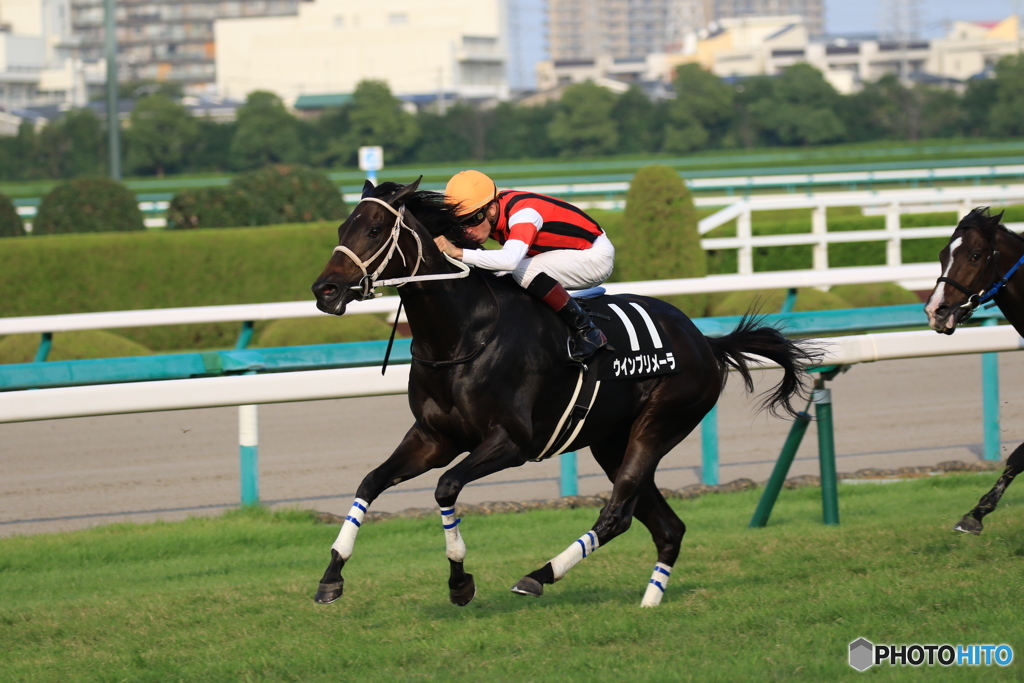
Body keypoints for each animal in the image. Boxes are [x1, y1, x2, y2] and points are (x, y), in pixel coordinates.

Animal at [307, 179, 811, 606]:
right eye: (342, 228)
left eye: (374, 229)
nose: (324, 290)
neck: (462, 334)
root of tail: (705, 341)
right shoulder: (433, 438)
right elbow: (370, 483)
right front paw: (331, 576)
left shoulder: (512, 442)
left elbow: (446, 486)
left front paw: (460, 581)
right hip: (612, 443)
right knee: (665, 526)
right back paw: (649, 602)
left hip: (660, 423)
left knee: (617, 513)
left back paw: (539, 575)